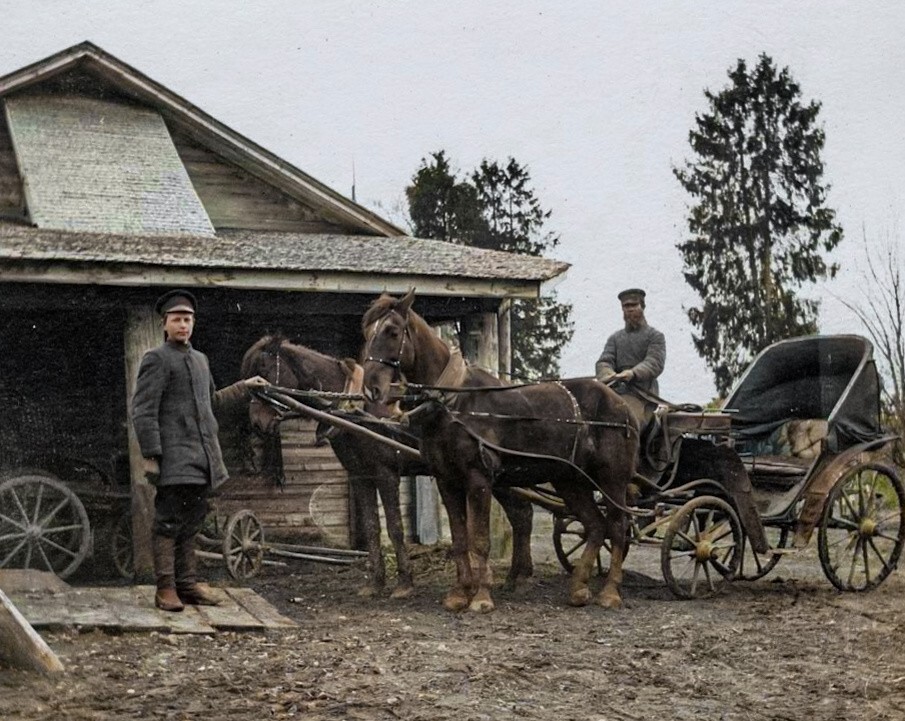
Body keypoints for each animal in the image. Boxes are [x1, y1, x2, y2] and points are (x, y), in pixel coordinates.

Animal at [360, 290, 636, 612]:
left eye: (392, 331)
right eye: (367, 332)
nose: (371, 389)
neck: (453, 403)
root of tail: (621, 404)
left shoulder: (478, 479)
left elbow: (480, 541)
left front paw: (481, 597)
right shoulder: (446, 480)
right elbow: (460, 539)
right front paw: (459, 594)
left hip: (612, 479)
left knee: (617, 525)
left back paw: (610, 592)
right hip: (570, 480)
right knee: (595, 525)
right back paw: (578, 588)